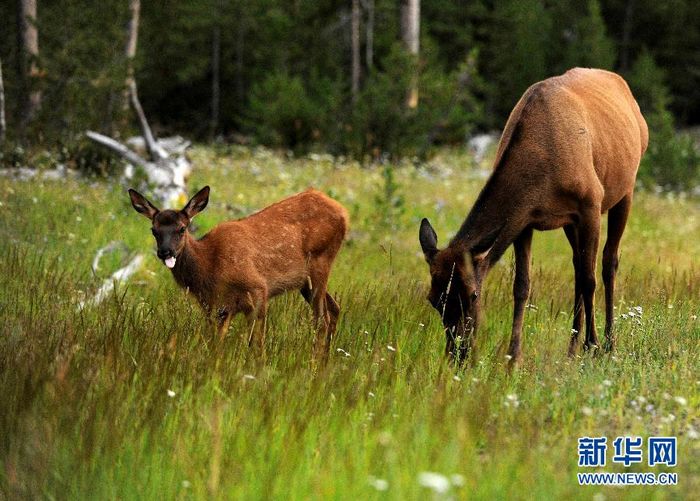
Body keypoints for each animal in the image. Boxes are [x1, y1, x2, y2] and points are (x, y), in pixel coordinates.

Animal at [129, 186, 348, 358]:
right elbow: (216, 345)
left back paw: (314, 365)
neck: (209, 267)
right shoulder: (217, 308)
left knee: (322, 320)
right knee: (334, 308)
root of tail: (344, 213)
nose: (165, 252)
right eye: (154, 230)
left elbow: (257, 344)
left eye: (182, 228)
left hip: (321, 261)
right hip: (305, 282)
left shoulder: (258, 289)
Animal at [418, 68, 648, 368]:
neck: (540, 174)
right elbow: (522, 286)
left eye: (473, 294)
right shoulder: (524, 220)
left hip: (625, 191)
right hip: (570, 222)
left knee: (608, 263)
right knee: (577, 266)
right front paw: (513, 356)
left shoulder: (590, 203)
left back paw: (608, 342)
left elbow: (590, 280)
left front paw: (594, 344)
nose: (459, 353)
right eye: (434, 299)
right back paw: (572, 346)